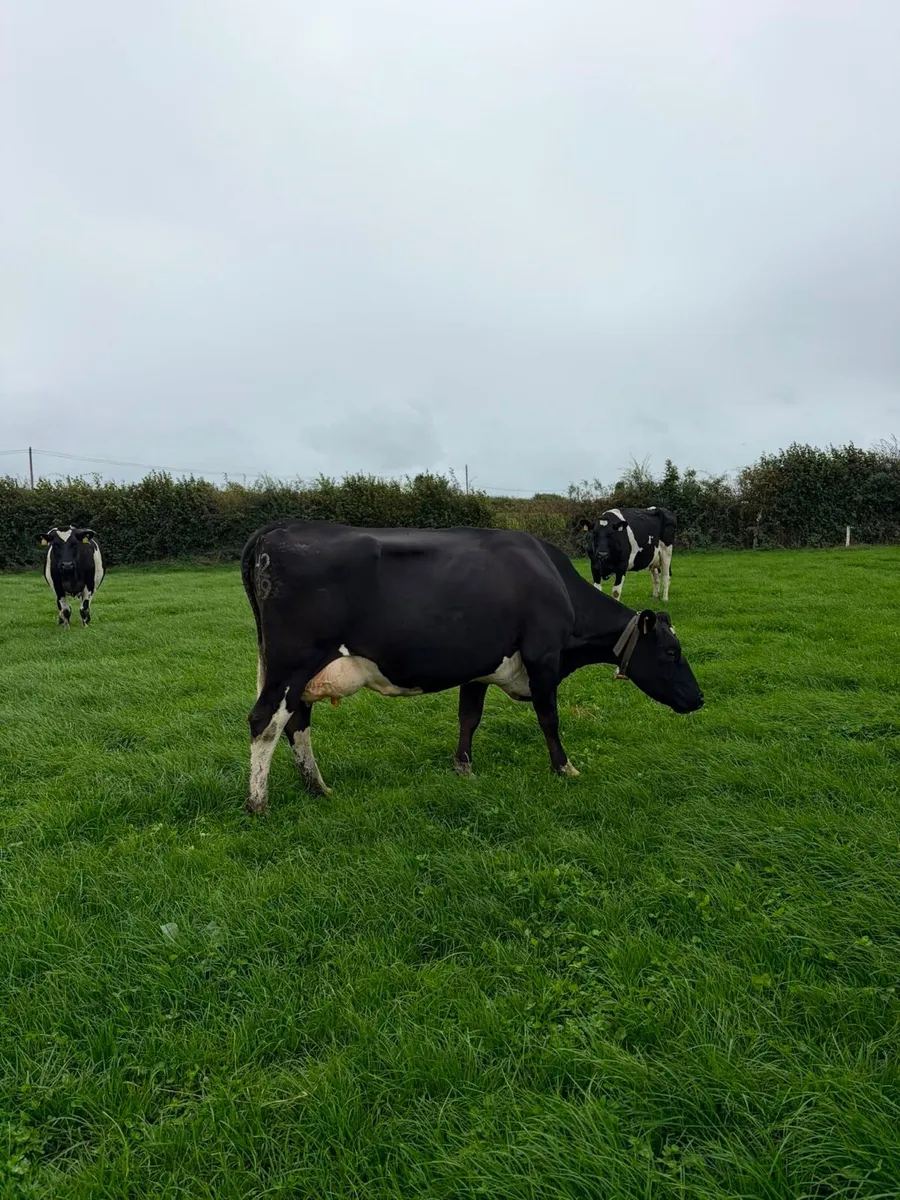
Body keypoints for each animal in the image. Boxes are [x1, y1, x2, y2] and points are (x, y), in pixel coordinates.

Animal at [240, 520, 702, 813]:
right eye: (671, 653)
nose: (698, 698)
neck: (555, 584)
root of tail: (279, 528)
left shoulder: (480, 666)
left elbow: (469, 717)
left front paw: (462, 766)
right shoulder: (543, 658)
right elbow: (549, 717)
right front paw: (564, 767)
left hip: (295, 672)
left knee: (296, 722)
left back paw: (318, 788)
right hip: (292, 663)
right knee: (265, 721)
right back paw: (259, 803)